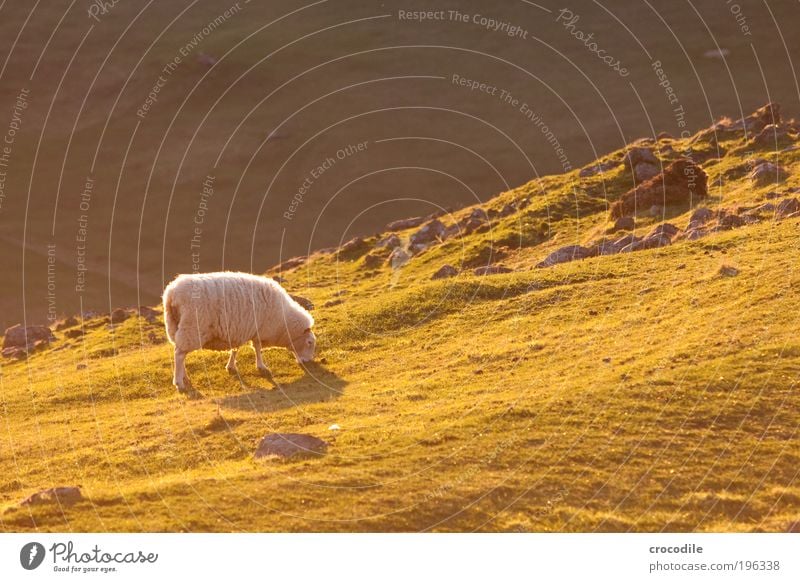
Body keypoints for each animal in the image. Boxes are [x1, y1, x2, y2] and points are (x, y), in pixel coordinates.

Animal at [162, 272, 316, 396]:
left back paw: (185, 378)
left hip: (175, 326)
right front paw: (262, 367)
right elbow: (257, 348)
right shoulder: (256, 330)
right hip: (192, 327)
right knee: (179, 354)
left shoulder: (240, 329)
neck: (284, 323)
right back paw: (179, 383)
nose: (308, 362)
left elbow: (236, 349)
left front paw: (231, 366)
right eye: (309, 342)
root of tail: (171, 294)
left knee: (180, 353)